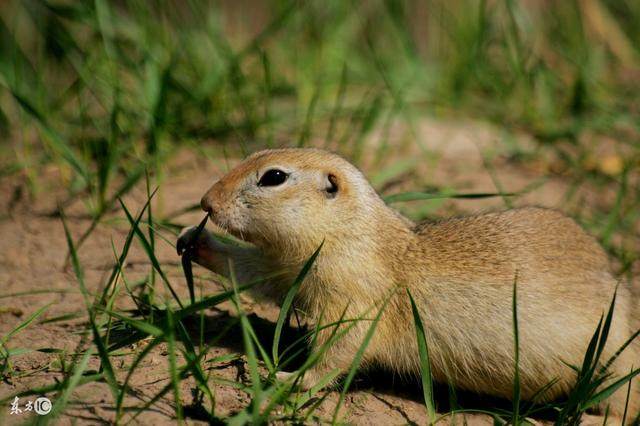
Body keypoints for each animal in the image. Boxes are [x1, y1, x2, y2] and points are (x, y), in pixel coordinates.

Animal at [176, 148, 640, 418]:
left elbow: (340, 347)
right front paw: (192, 241)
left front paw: (290, 378)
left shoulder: (354, 295)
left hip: (614, 359)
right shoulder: (289, 265)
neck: (355, 233)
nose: (205, 202)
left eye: (273, 176)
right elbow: (257, 273)